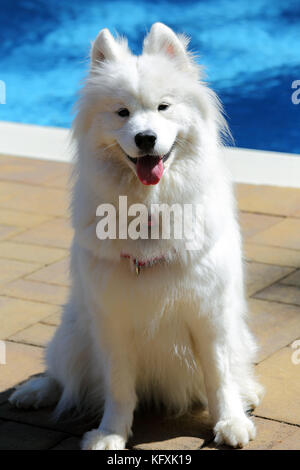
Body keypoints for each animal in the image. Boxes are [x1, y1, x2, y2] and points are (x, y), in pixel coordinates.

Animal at [9, 23, 262, 450]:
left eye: (163, 107)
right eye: (122, 112)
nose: (145, 138)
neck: (149, 209)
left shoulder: (209, 315)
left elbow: (219, 376)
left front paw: (230, 422)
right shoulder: (113, 322)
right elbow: (119, 388)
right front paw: (110, 433)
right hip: (74, 331)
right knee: (61, 374)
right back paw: (33, 392)